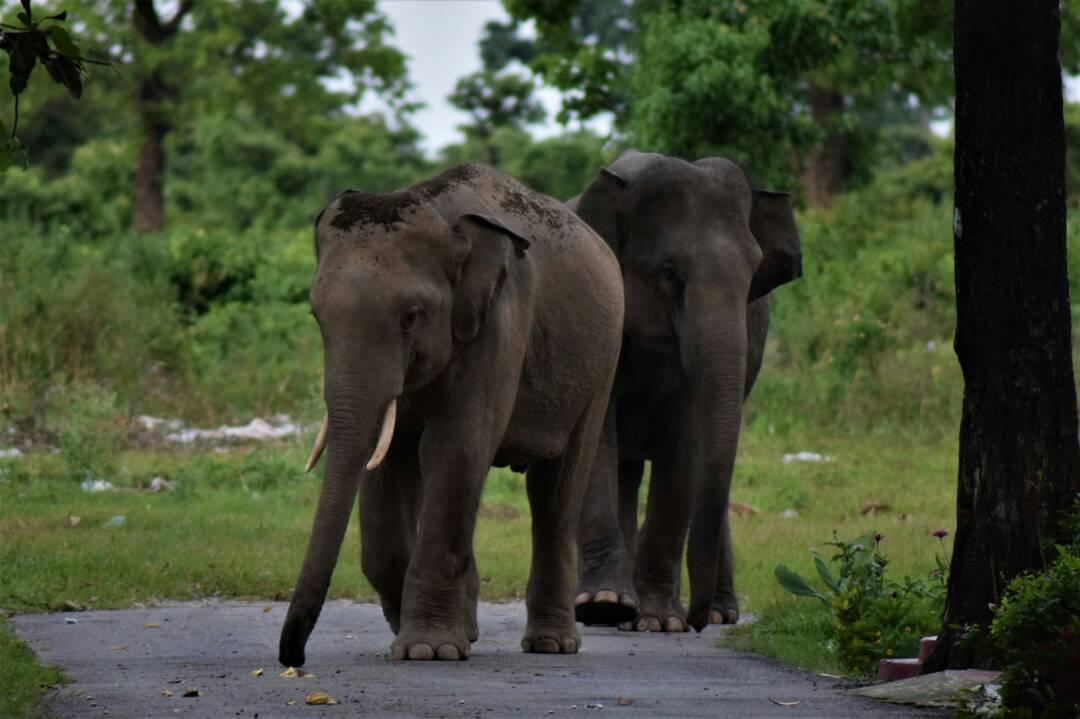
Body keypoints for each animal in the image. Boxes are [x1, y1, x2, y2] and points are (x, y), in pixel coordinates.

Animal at [278, 161, 626, 665]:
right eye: (316, 316)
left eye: (410, 316)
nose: (293, 659)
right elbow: (390, 459)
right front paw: (415, 632)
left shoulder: (499, 322)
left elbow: (456, 447)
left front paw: (428, 650)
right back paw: (473, 630)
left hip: (602, 362)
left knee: (555, 489)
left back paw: (552, 645)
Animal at [574, 147, 803, 630]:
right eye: (669, 271)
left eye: (753, 274)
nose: (696, 620)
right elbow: (598, 436)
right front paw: (604, 604)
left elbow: (684, 445)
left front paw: (659, 621)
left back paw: (714, 612)